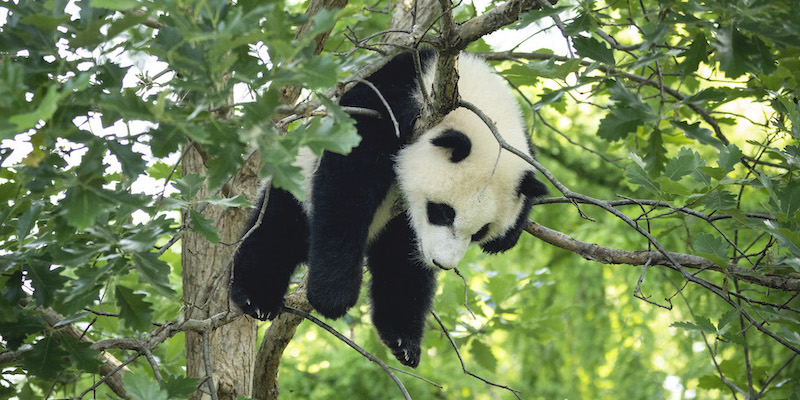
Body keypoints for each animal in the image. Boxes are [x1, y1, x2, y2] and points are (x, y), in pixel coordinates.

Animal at [228, 50, 548, 368]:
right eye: (443, 212)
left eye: (480, 232)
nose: (442, 262)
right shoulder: (386, 100)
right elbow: (348, 183)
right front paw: (333, 297)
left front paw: (507, 236)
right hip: (296, 183)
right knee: (279, 229)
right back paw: (256, 297)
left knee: (401, 268)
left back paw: (402, 340)